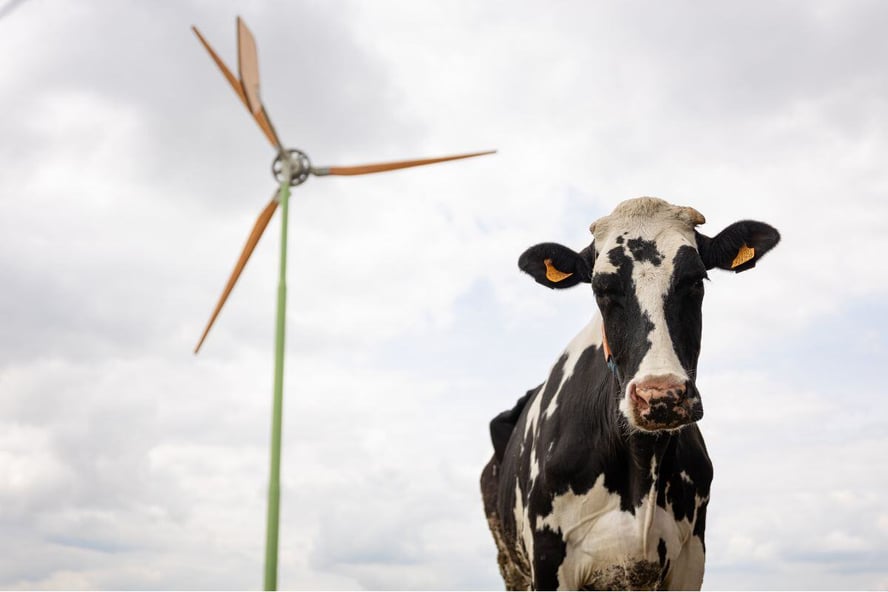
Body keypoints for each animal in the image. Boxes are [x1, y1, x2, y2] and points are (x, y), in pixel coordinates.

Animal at [482, 197, 780, 588]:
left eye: (696, 279)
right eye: (600, 289)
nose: (661, 396)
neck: (641, 463)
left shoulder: (690, 559)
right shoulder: (547, 558)